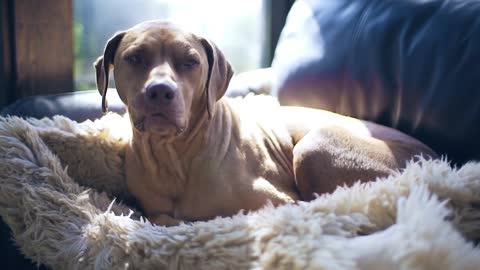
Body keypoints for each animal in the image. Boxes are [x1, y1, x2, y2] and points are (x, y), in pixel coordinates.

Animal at [94, 21, 438, 227]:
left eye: (190, 62)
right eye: (135, 58)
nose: (160, 91)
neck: (175, 156)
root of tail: (434, 158)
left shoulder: (278, 202)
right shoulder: (156, 211)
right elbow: (162, 217)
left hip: (315, 145)